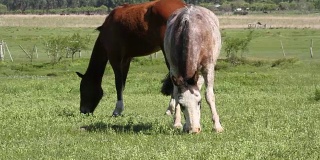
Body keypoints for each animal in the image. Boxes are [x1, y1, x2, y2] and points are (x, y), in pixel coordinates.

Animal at [164, 5, 224, 133]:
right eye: (182, 105)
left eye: (199, 102)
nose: (194, 130)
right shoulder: (174, 69)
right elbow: (176, 93)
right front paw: (177, 123)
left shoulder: (208, 67)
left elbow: (209, 95)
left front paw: (217, 126)